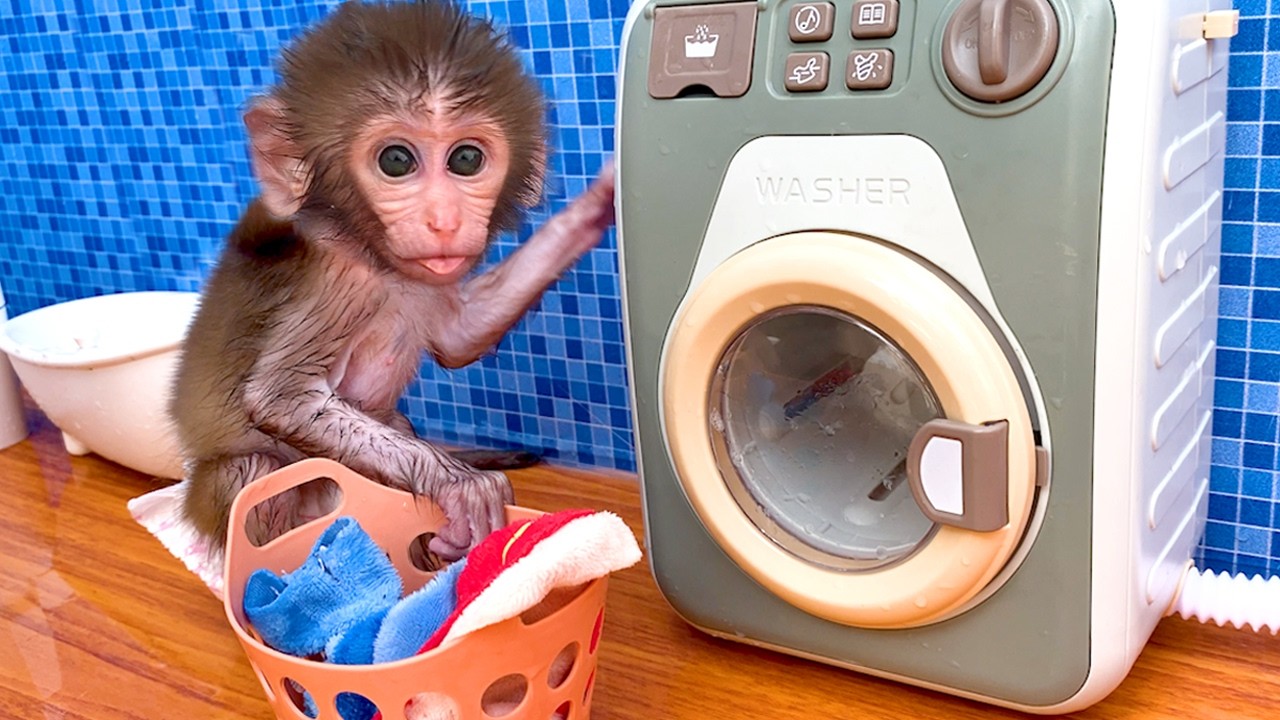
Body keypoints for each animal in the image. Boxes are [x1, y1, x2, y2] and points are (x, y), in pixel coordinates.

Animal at [168, 0, 616, 561]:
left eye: (466, 159)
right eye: (396, 161)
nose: (443, 220)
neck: (380, 262)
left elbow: (460, 338)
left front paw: (601, 201)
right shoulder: (339, 280)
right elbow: (282, 399)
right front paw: (462, 485)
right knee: (256, 471)